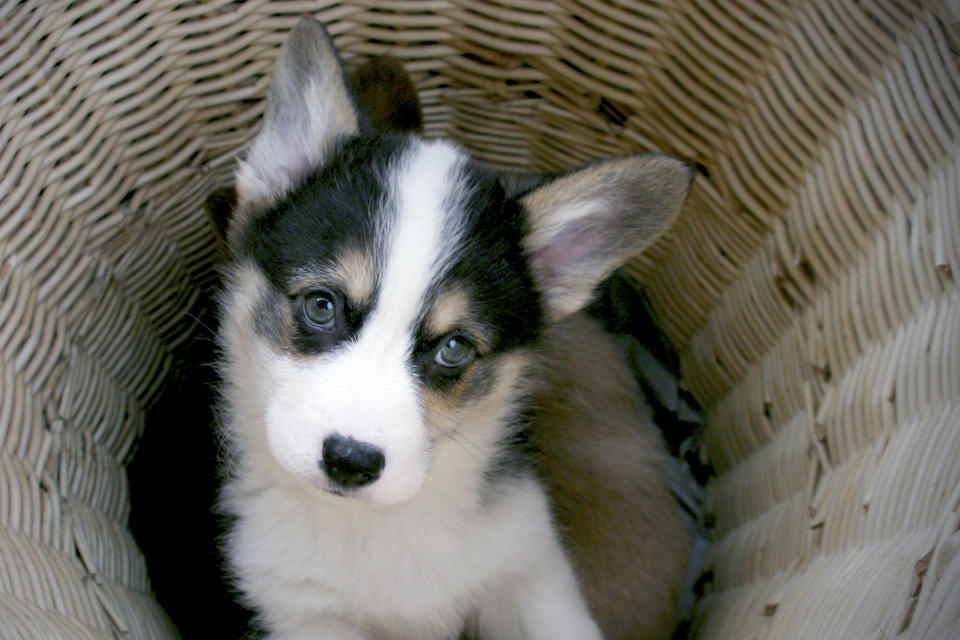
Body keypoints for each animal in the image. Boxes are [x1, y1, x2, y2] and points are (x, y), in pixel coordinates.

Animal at [218, 16, 692, 640]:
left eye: (454, 348)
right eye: (321, 306)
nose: (350, 462)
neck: (378, 525)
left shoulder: (531, 572)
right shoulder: (300, 613)